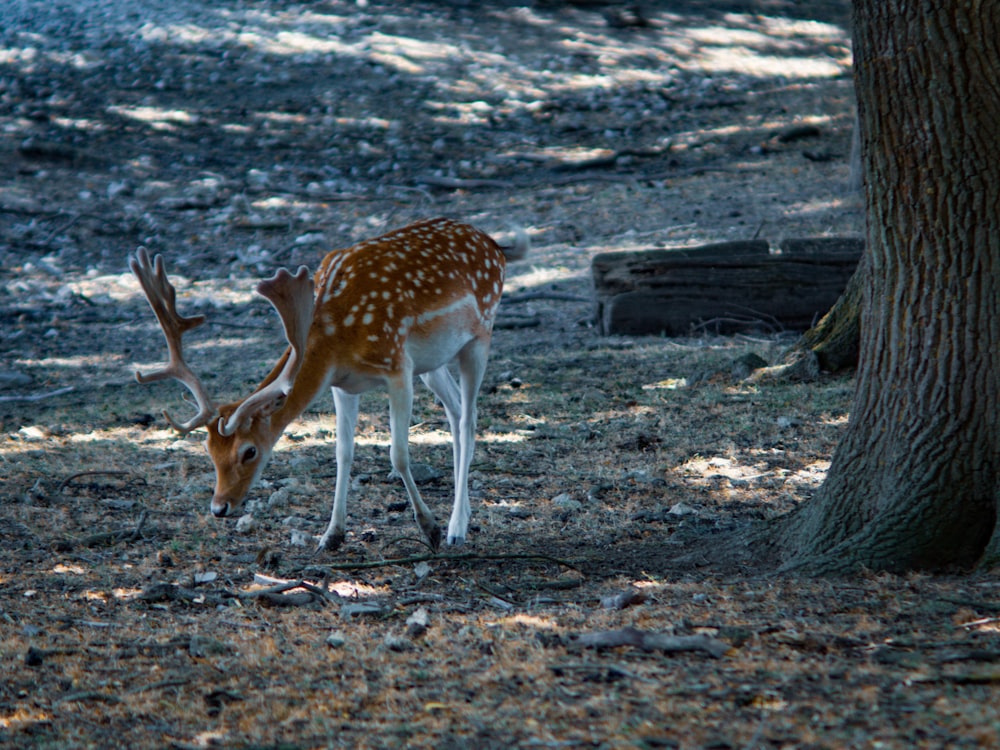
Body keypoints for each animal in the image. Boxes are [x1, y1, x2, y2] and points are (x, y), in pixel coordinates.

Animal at [129, 217, 528, 552]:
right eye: (209, 450)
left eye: (249, 451)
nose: (219, 507)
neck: (337, 337)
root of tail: (495, 245)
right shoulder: (343, 385)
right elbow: (343, 454)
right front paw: (331, 535)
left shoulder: (397, 365)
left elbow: (398, 455)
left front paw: (429, 527)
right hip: (432, 363)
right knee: (456, 413)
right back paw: (464, 516)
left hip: (479, 336)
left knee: (469, 419)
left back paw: (456, 527)